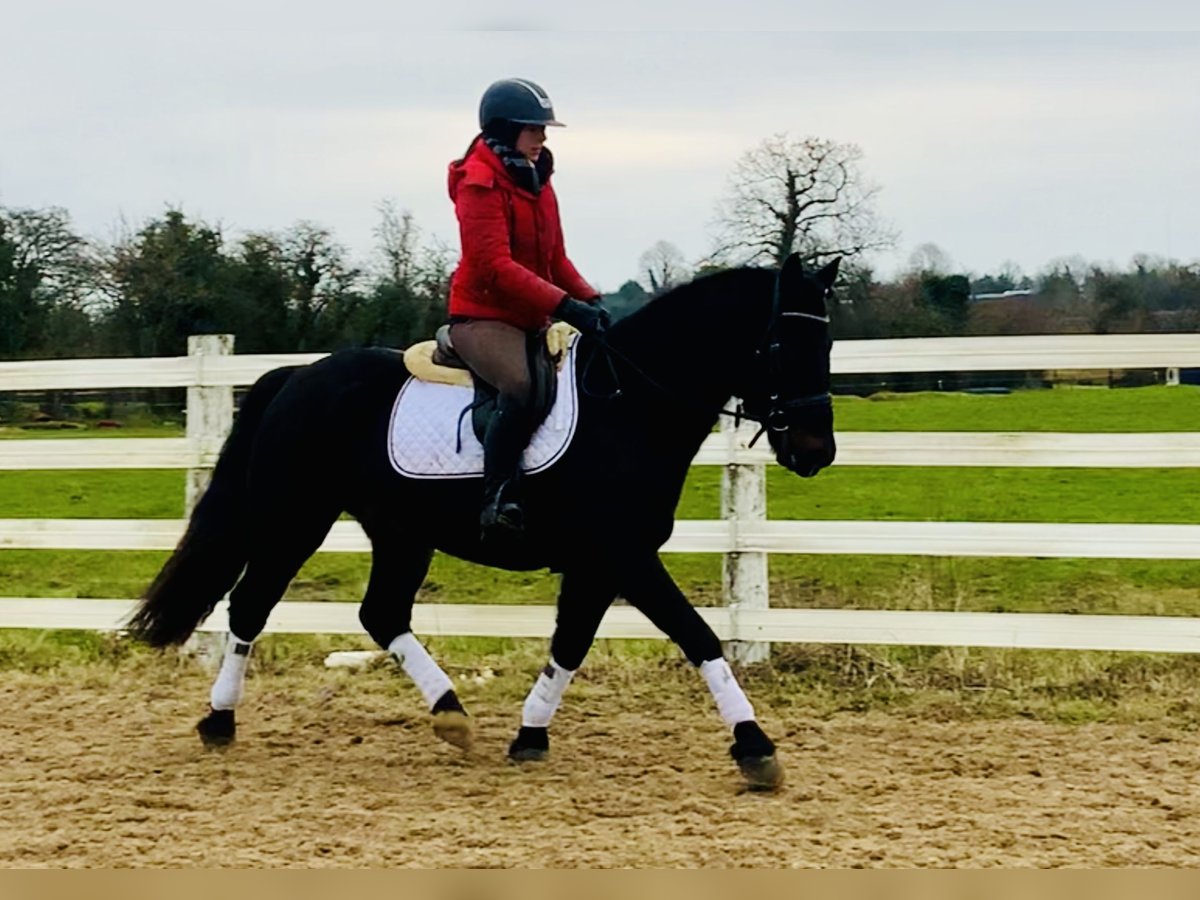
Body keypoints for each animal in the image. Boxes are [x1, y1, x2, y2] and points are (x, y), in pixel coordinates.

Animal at [124, 252, 835, 787]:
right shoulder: (624, 556)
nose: (815, 453)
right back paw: (219, 723)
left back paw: (451, 714)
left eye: (827, 342)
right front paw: (755, 747)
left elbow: (570, 645)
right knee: (250, 605)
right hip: (295, 518)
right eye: (782, 342)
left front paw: (529, 736)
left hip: (399, 532)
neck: (630, 404)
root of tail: (297, 377)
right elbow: (699, 636)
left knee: (381, 613)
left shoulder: (600, 564)